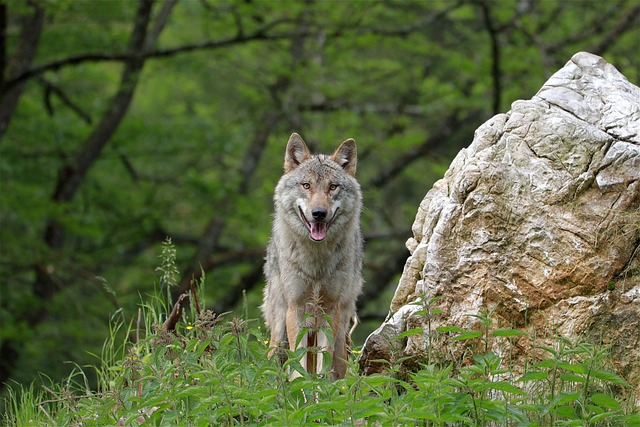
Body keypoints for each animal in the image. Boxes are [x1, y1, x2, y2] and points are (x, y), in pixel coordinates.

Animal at [262, 132, 363, 380]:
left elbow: (323, 365)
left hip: (340, 331)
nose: (318, 214)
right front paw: (301, 389)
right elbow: (298, 367)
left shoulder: (330, 310)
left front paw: (320, 390)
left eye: (333, 187)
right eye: (306, 185)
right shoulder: (296, 309)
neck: (316, 263)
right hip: (279, 330)